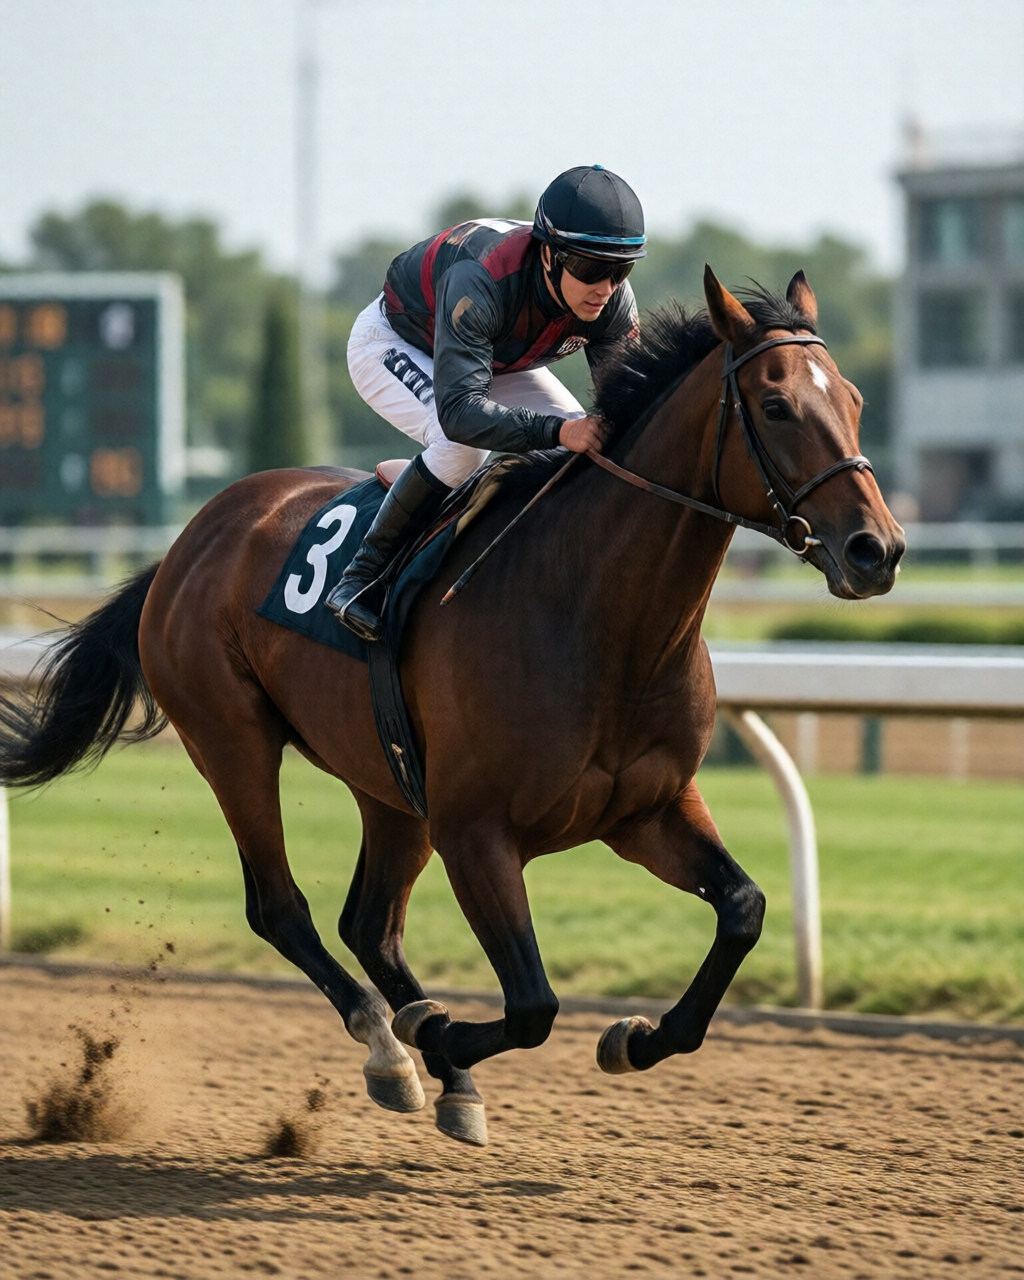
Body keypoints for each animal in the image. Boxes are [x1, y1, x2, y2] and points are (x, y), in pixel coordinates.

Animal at [0, 268, 904, 1147]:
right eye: (777, 405)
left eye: (856, 399)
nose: (879, 550)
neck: (596, 616)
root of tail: (192, 538)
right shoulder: (476, 832)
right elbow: (534, 1004)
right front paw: (434, 1035)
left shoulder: (647, 810)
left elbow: (743, 911)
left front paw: (632, 1037)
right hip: (231, 739)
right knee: (282, 908)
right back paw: (392, 1047)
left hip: (390, 785)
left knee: (369, 923)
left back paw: (438, 1066)